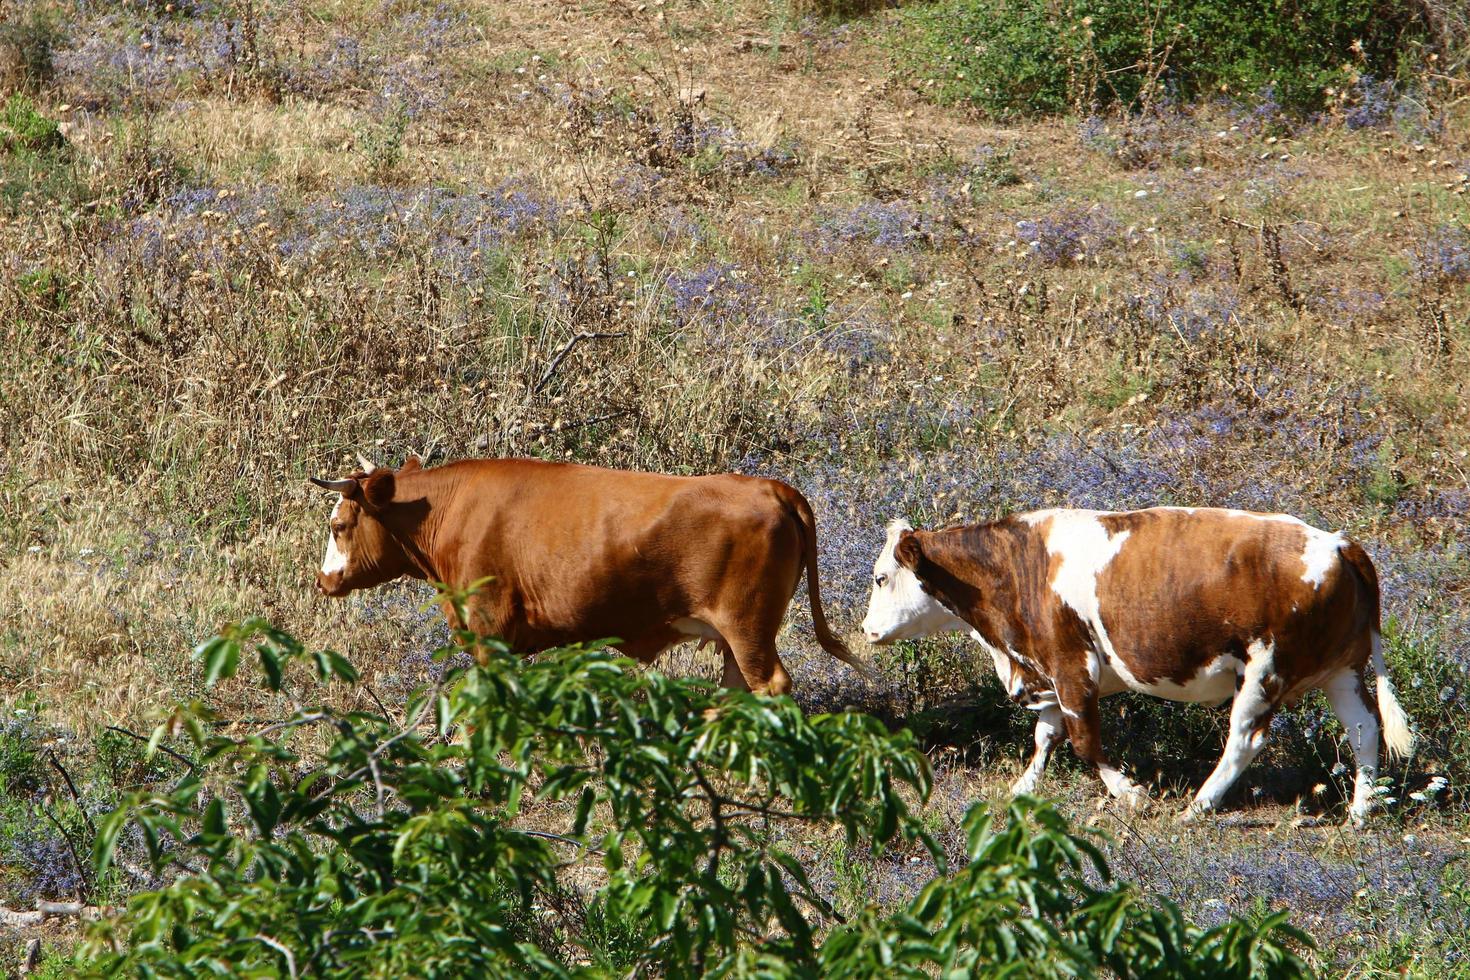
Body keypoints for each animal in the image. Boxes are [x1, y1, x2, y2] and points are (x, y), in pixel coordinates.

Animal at [305, 455, 864, 693]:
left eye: (338, 526)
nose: (323, 580)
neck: (452, 510)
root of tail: (770, 487)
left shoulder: (488, 628)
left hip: (748, 627)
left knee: (768, 685)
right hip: (733, 634)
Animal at [858, 511, 1411, 822]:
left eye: (881, 578)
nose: (866, 629)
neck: (1019, 565)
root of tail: (1339, 543)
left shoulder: (1071, 664)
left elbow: (1084, 741)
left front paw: (1131, 794)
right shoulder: (1054, 671)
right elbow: (1046, 735)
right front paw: (1023, 787)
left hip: (1264, 670)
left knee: (1245, 740)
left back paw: (1196, 808)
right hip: (1340, 671)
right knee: (1364, 729)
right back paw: (1361, 811)